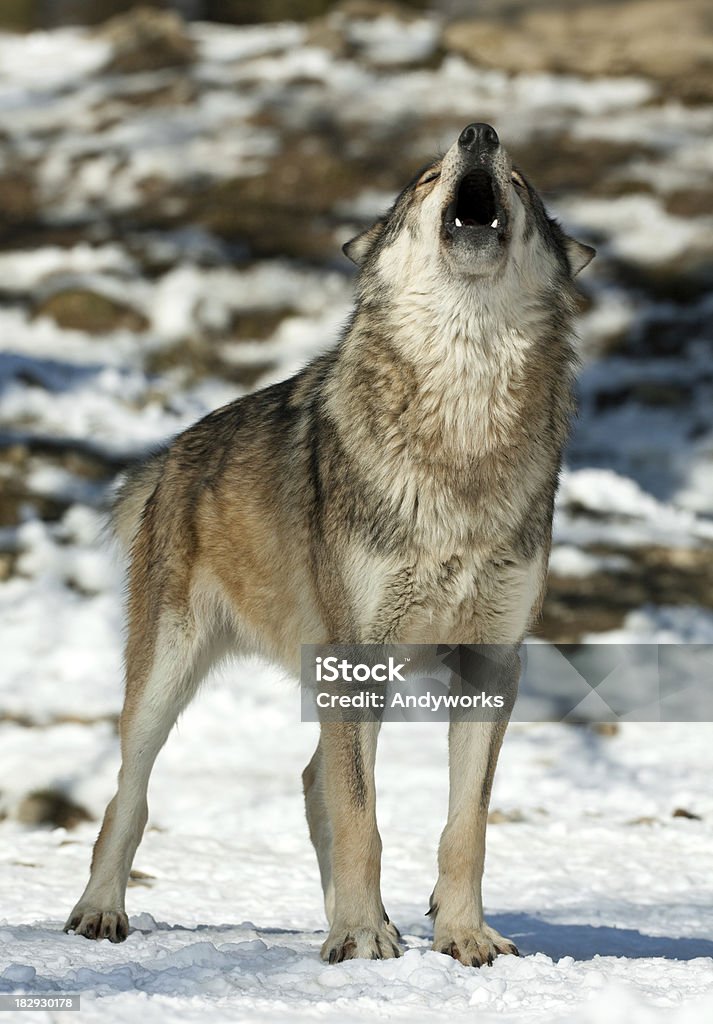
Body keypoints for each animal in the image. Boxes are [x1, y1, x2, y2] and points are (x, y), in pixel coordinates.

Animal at [65, 123, 590, 962]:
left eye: (521, 180)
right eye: (425, 177)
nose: (478, 132)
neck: (463, 428)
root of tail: (172, 453)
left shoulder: (491, 663)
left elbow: (462, 827)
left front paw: (461, 936)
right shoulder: (359, 657)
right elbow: (361, 817)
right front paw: (361, 936)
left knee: (314, 784)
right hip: (166, 680)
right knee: (129, 797)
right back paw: (100, 912)